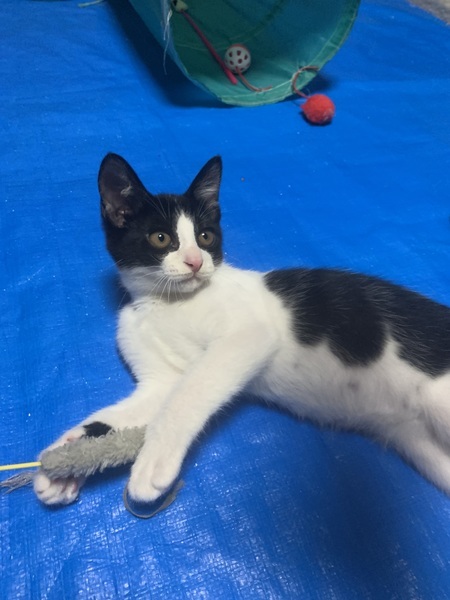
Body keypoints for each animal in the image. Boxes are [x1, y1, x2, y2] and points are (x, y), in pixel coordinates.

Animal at [34, 153, 450, 506]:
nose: (195, 262)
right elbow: (141, 405)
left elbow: (188, 393)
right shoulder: (160, 378)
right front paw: (65, 458)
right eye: (161, 238)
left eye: (205, 237)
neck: (164, 303)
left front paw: (153, 461)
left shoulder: (249, 334)